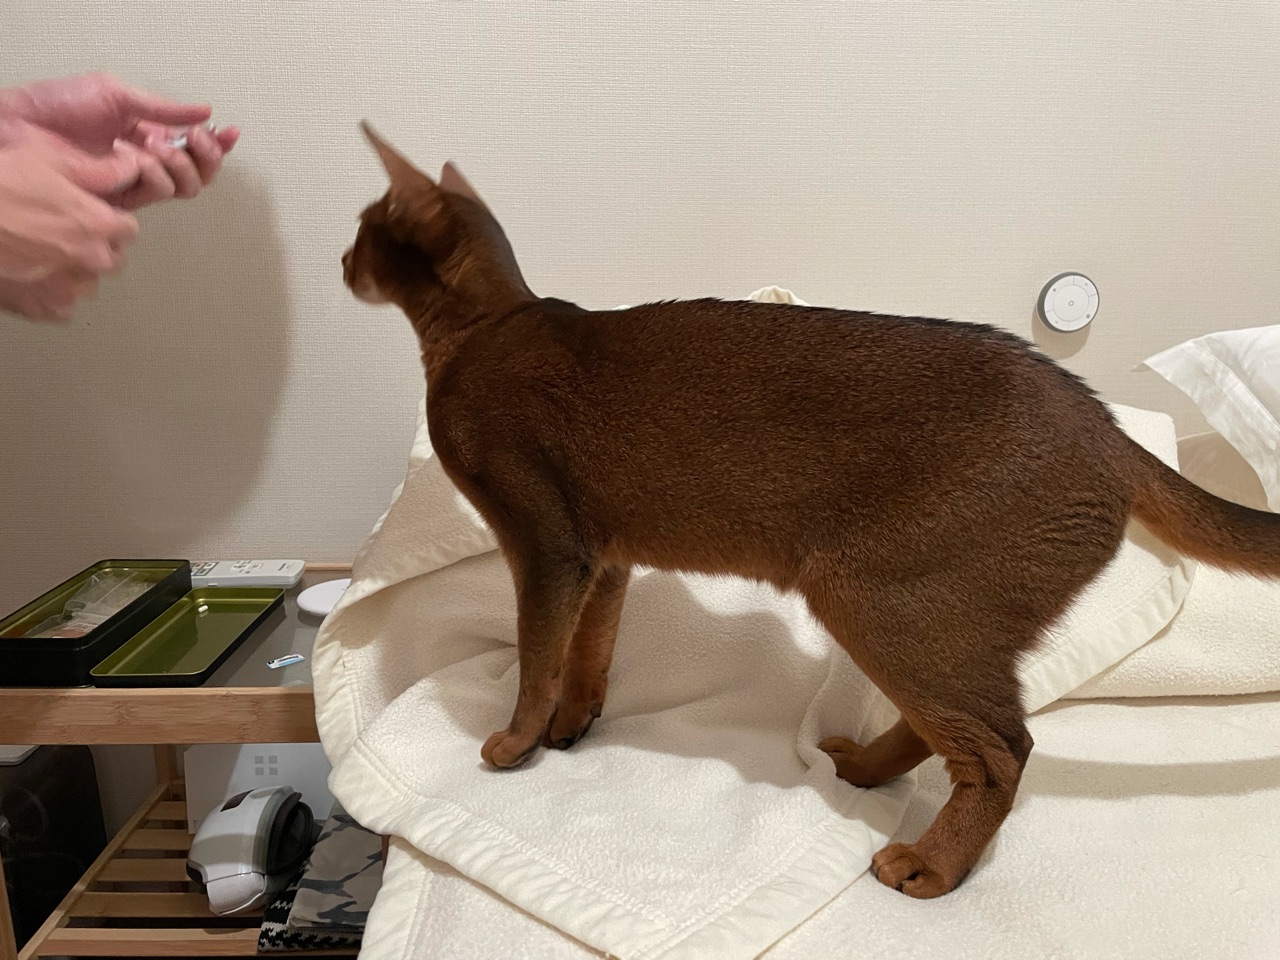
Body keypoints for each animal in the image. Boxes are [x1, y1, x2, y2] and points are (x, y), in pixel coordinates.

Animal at [342, 123, 1280, 899]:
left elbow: (537, 658)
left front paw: (512, 745)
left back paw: (931, 867)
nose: (340, 263)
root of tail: (1105, 424)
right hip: (922, 618)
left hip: (877, 596)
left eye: (361, 229)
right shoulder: (604, 559)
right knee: (960, 727)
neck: (486, 325)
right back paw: (865, 771)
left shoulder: (545, 547)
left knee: (1001, 747)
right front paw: (573, 728)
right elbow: (588, 655)